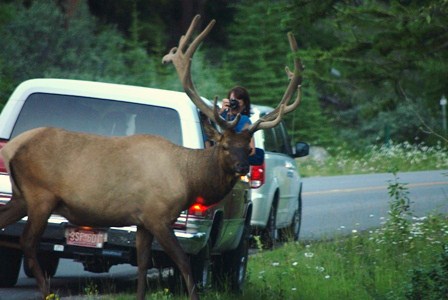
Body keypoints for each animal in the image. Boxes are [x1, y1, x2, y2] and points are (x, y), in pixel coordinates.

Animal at [0, 14, 302, 300]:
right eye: (225, 145)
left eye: (248, 148)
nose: (242, 167)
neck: (188, 178)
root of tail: (11, 148)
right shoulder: (158, 215)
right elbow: (183, 262)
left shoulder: (142, 220)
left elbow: (144, 264)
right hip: (41, 195)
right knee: (27, 242)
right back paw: (47, 291)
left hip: (21, 196)